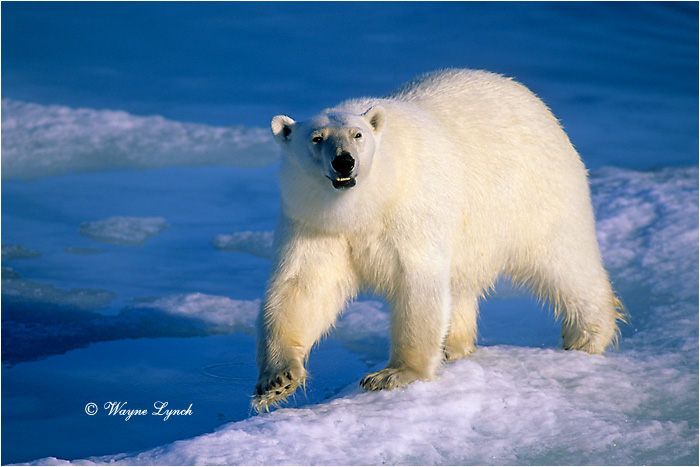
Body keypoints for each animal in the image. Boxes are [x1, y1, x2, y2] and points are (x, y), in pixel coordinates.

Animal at [253, 69, 625, 412]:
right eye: (317, 138)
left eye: (357, 134)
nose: (344, 161)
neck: (366, 205)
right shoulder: (313, 223)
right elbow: (302, 288)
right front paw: (277, 380)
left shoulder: (410, 213)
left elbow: (417, 283)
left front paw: (393, 374)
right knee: (462, 285)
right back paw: (453, 347)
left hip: (538, 193)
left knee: (565, 261)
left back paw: (587, 337)